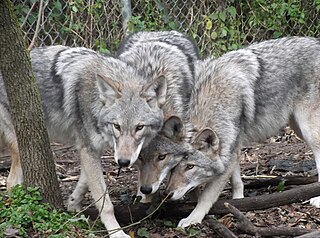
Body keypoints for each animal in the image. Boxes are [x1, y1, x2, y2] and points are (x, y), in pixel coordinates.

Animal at [1, 45, 169, 238]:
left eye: (139, 127)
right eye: (117, 126)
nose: (123, 162)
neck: (96, 99)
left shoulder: (91, 150)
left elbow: (84, 182)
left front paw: (73, 205)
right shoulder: (88, 149)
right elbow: (106, 203)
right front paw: (116, 233)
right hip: (21, 147)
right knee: (11, 183)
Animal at [166, 36, 320, 228]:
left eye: (190, 167)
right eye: (173, 167)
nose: (168, 194)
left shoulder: (229, 152)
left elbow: (207, 196)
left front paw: (192, 218)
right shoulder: (233, 147)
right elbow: (237, 180)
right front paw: (238, 202)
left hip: (308, 130)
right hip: (297, 127)